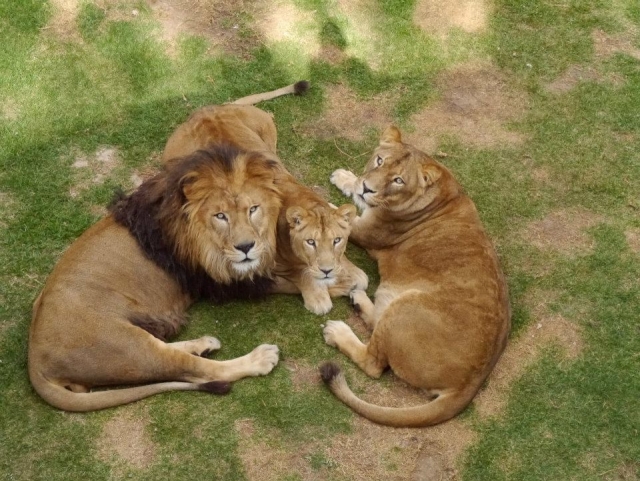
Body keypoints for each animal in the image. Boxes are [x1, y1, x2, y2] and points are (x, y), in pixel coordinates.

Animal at [29, 145, 283, 412]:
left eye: (253, 209)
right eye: (220, 216)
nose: (246, 247)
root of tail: (35, 361)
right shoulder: (222, 279)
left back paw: (203, 344)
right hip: (128, 348)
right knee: (201, 371)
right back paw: (258, 358)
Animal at [162, 82, 368, 315]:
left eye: (337, 240)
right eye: (310, 242)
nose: (327, 270)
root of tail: (205, 110)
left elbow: (360, 276)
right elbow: (302, 277)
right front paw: (319, 294)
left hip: (269, 132)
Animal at [320, 126, 511, 427]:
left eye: (398, 180)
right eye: (379, 161)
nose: (368, 188)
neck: (440, 194)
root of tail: (471, 382)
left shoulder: (365, 231)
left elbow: (337, 215)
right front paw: (346, 178)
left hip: (406, 307)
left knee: (374, 363)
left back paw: (337, 332)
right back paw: (358, 299)